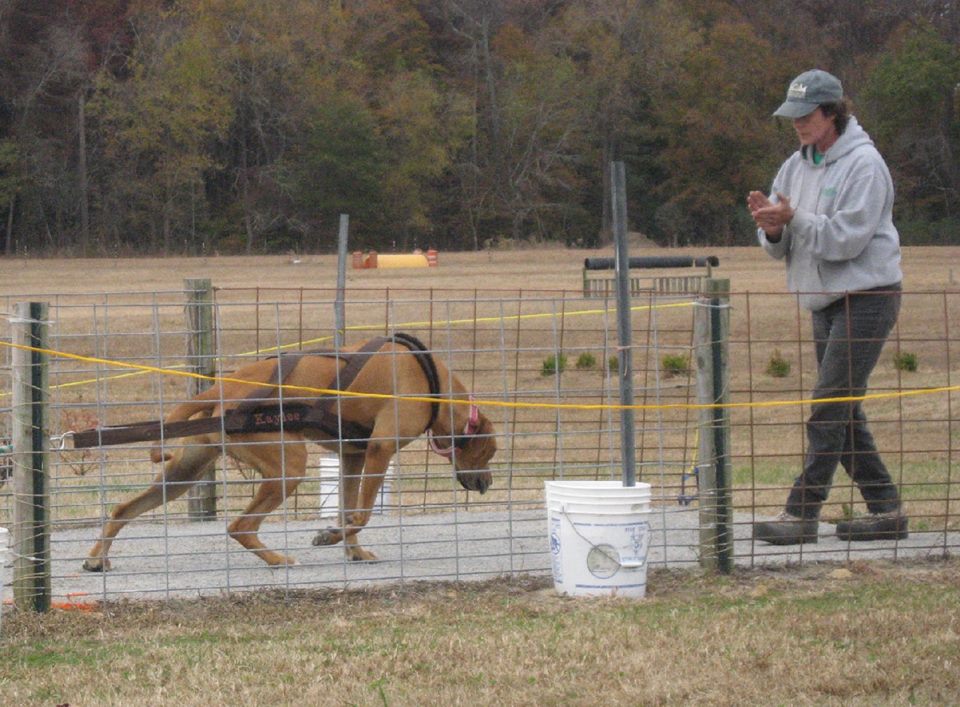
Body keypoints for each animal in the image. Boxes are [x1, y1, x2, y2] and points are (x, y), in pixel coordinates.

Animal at [82, 334, 496, 572]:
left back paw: (96, 558)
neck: (432, 382)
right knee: (240, 526)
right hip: (289, 464)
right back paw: (278, 559)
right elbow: (361, 515)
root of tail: (221, 389)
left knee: (122, 510)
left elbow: (349, 511)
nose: (488, 484)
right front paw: (329, 537)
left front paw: (352, 550)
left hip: (185, 472)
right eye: (490, 453)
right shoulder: (380, 450)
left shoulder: (353, 457)